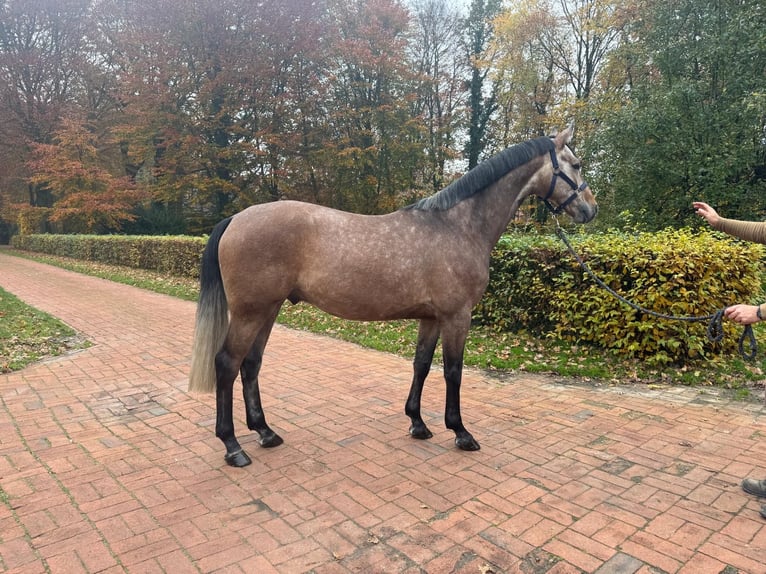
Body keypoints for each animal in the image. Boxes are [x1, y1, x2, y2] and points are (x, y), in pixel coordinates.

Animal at [189, 125, 598, 467]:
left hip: (269, 309)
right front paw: (460, 432)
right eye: (576, 164)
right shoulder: (457, 316)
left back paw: (265, 432)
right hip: (250, 312)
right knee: (227, 364)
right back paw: (233, 447)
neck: (458, 225)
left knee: (251, 365)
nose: (590, 209)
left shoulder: (431, 317)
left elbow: (421, 365)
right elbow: (453, 371)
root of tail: (235, 219)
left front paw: (417, 423)